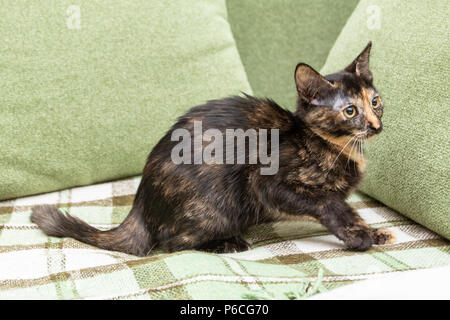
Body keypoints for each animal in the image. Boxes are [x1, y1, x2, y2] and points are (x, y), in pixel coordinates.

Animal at [31, 43, 396, 258]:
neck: (335, 147)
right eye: (349, 111)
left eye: (375, 102)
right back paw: (227, 243)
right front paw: (360, 235)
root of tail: (140, 206)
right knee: (171, 242)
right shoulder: (269, 183)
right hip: (221, 206)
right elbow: (329, 202)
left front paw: (373, 233)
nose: (376, 125)